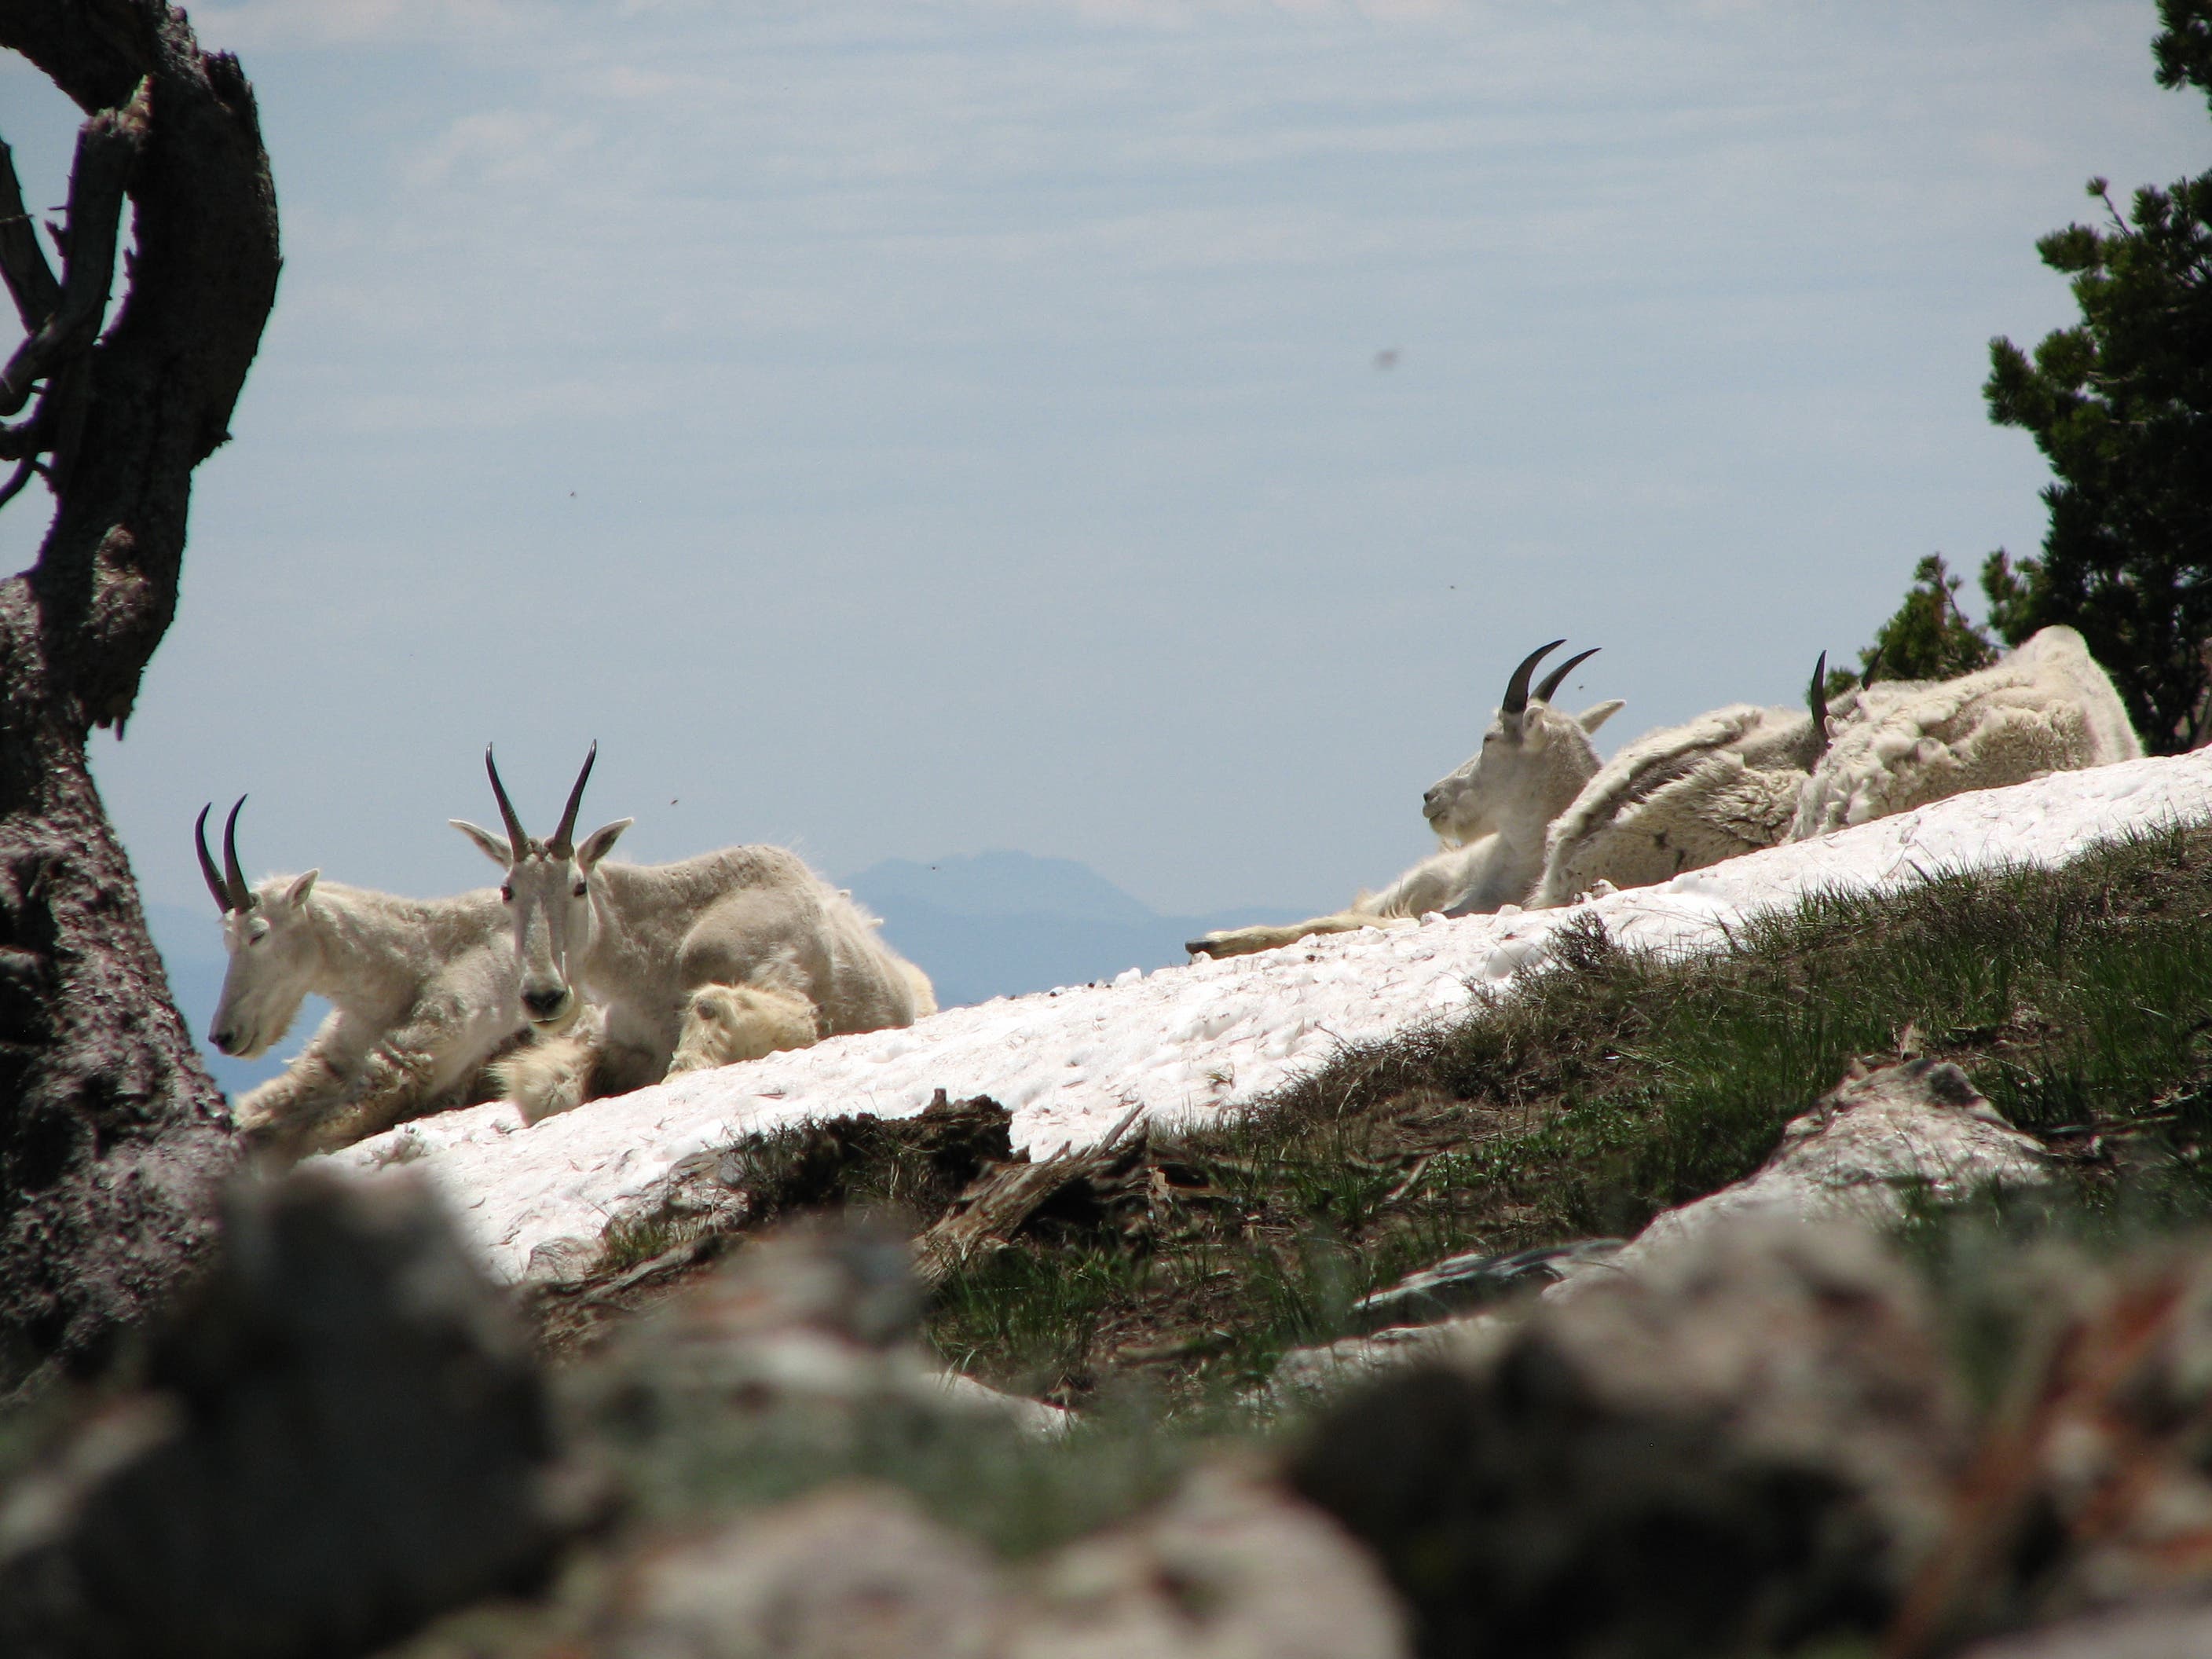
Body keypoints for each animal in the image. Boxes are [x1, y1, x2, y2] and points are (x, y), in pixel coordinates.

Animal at [452, 745, 935, 1119]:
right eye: (507, 890)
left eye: (579, 885)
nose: (544, 997)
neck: (659, 956)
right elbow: (547, 1090)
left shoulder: (793, 1002)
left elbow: (706, 1013)